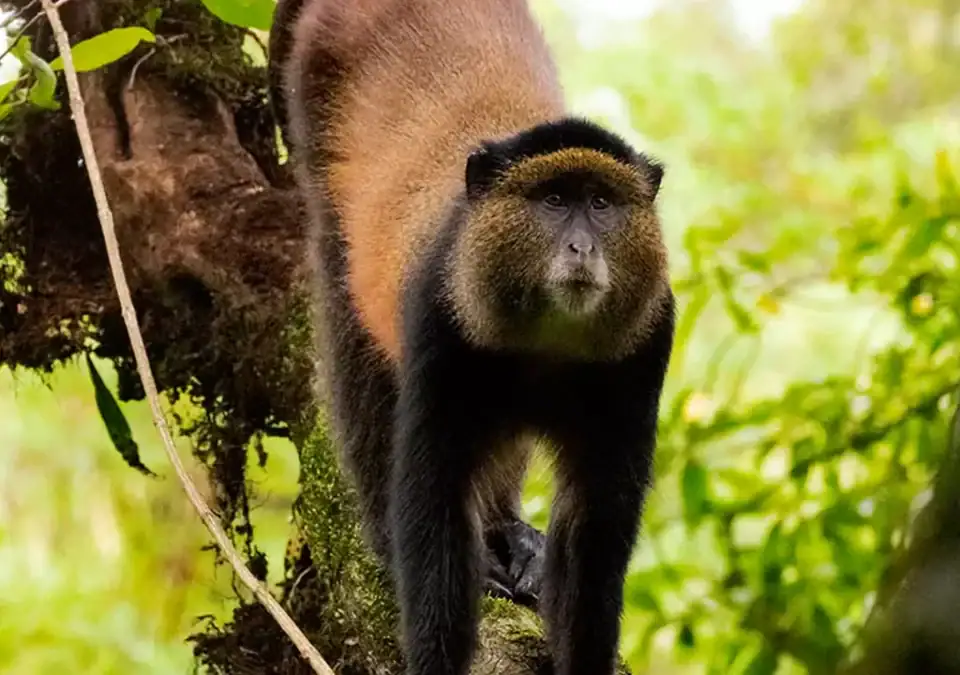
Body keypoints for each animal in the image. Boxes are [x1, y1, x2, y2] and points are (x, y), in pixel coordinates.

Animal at [269, 1, 675, 674]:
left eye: (601, 202)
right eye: (554, 199)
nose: (582, 248)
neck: (546, 342)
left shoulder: (648, 340)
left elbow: (595, 530)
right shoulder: (439, 318)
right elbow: (433, 505)